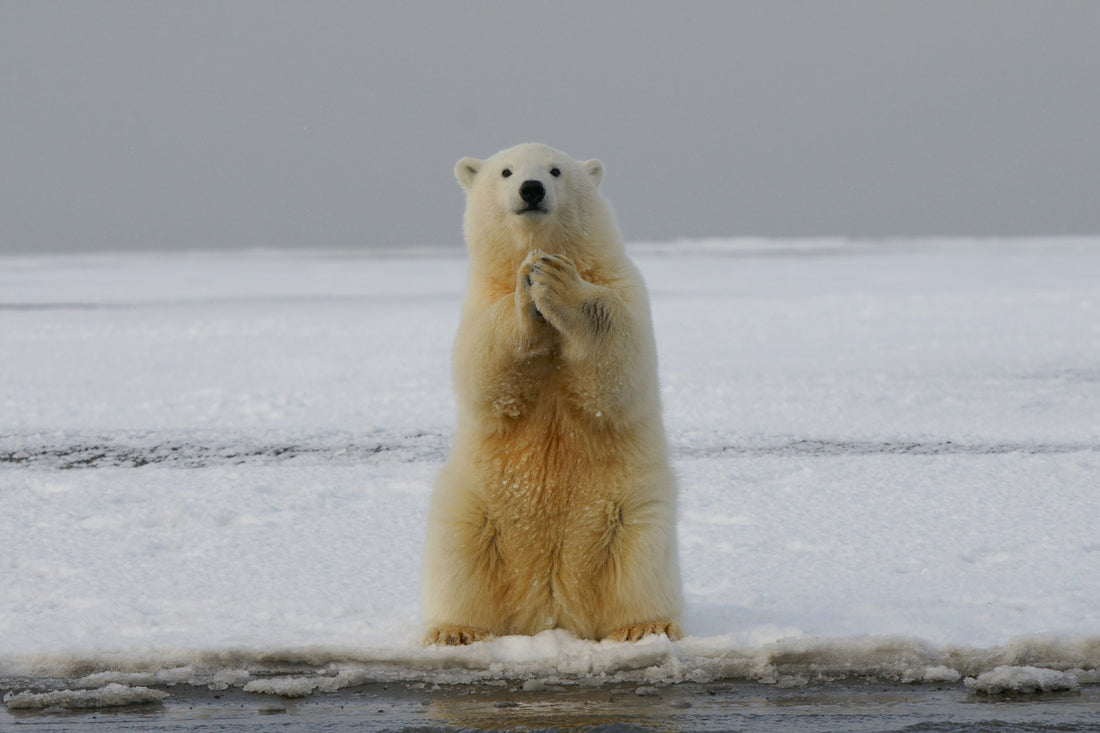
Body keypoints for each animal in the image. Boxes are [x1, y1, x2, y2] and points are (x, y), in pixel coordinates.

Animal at [424, 143, 682, 647]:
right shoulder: (479, 299)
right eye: (506, 171)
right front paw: (528, 288)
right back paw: (456, 630)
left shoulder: (623, 285)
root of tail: (551, 610)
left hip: (629, 509)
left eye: (556, 170)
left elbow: (621, 364)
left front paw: (557, 281)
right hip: (476, 508)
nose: (531, 188)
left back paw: (644, 626)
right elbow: (484, 370)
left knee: (641, 561)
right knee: (459, 555)